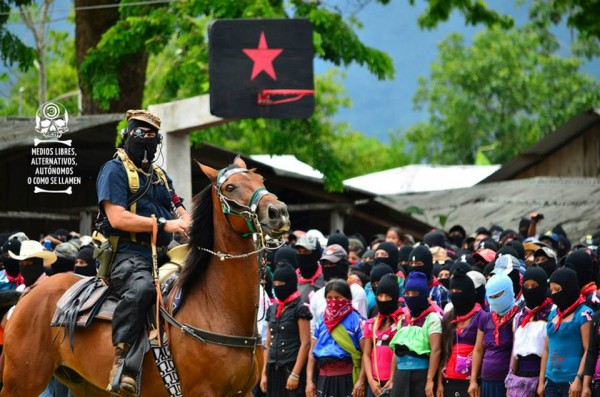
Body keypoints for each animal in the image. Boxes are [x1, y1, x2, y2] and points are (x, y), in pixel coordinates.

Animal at [0, 156, 290, 394]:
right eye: (230, 188)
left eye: (261, 181)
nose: (278, 212)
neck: (216, 306)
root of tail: (29, 294)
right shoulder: (202, 392)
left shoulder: (243, 392)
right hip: (21, 380)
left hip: (84, 385)